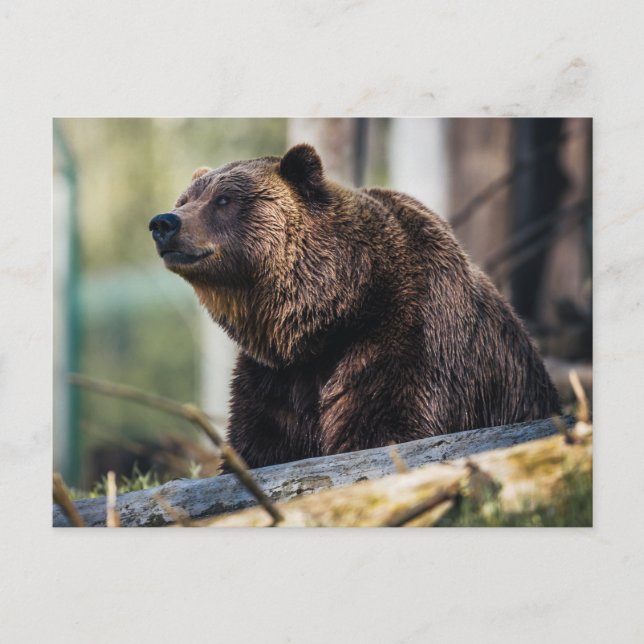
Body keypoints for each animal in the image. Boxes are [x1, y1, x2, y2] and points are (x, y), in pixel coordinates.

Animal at [149, 143, 561, 469]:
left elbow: (385, 426)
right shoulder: (276, 376)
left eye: (223, 200)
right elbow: (260, 442)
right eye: (184, 200)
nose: (164, 222)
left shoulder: (406, 338)